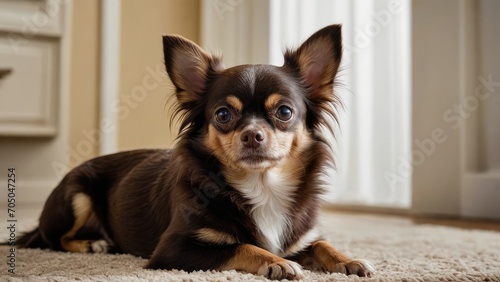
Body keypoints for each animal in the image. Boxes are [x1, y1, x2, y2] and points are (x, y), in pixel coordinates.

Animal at [15, 24, 374, 280]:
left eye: (284, 112)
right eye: (223, 115)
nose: (252, 135)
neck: (261, 187)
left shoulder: (302, 239)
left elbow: (323, 243)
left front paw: (349, 259)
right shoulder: (173, 249)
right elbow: (241, 245)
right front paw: (277, 263)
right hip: (77, 196)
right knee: (52, 238)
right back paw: (92, 243)